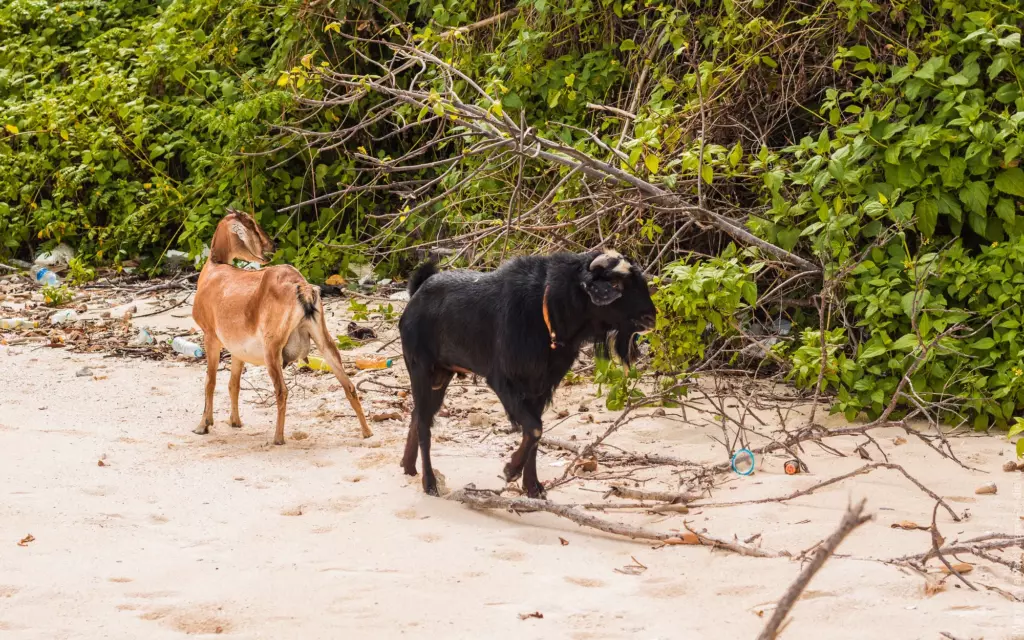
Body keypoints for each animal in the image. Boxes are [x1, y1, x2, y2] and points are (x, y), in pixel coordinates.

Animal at [191, 209, 371, 444]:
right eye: (252, 224)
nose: (271, 247)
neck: (214, 272)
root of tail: (302, 288)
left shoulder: (210, 336)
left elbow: (210, 382)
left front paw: (203, 425)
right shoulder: (237, 350)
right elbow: (233, 384)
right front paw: (235, 421)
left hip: (272, 350)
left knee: (281, 390)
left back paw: (278, 437)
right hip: (323, 340)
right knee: (348, 385)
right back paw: (367, 432)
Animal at [398, 249, 656, 497]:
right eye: (616, 284)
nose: (650, 318)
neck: (547, 309)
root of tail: (415, 295)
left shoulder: (542, 386)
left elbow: (536, 431)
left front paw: (532, 487)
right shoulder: (504, 381)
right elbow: (533, 428)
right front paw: (511, 470)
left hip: (441, 375)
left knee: (416, 415)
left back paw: (408, 466)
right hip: (421, 369)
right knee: (423, 424)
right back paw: (429, 483)